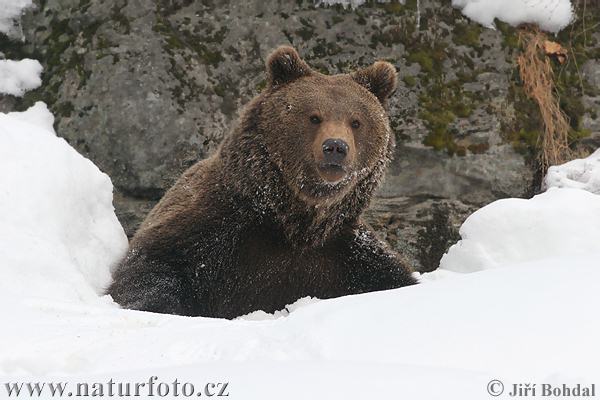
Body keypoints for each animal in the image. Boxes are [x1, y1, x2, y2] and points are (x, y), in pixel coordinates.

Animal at [106, 45, 418, 318]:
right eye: (314, 117)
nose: (335, 147)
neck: (293, 221)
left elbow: (394, 278)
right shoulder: (212, 228)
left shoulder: (346, 255)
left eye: (356, 121)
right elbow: (152, 266)